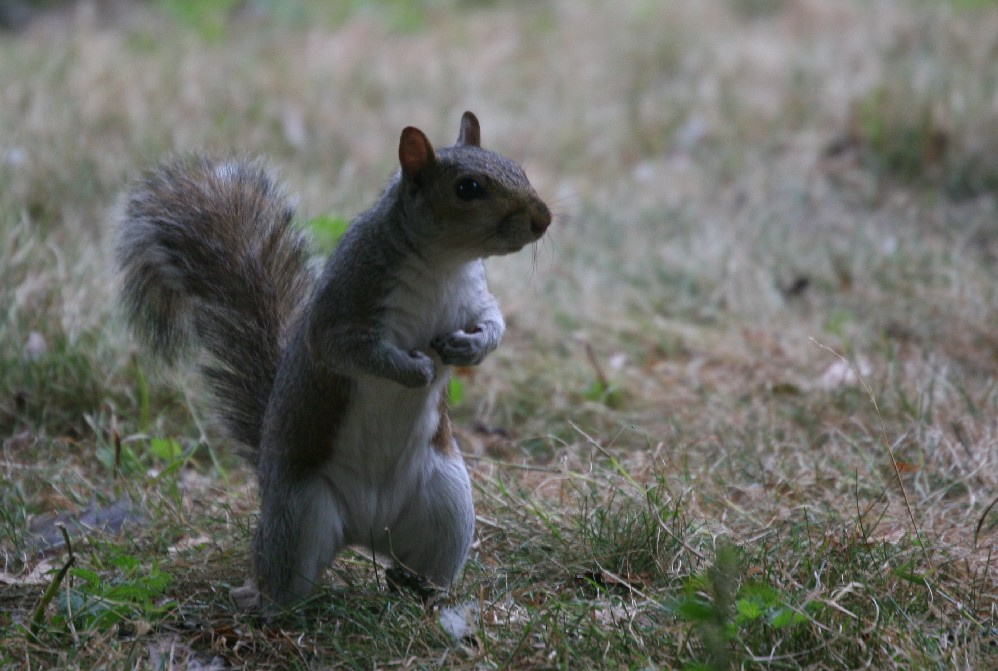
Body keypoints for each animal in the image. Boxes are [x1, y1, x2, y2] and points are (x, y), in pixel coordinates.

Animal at [116, 111, 551, 610]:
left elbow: (493, 323)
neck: (444, 263)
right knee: (284, 573)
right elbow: (346, 349)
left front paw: (469, 349)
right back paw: (264, 602)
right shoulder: (346, 301)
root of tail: (369, 530)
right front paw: (413, 370)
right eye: (468, 188)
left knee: (420, 567)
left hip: (447, 507)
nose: (543, 219)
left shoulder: (474, 299)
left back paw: (425, 595)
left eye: (516, 167)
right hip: (299, 515)